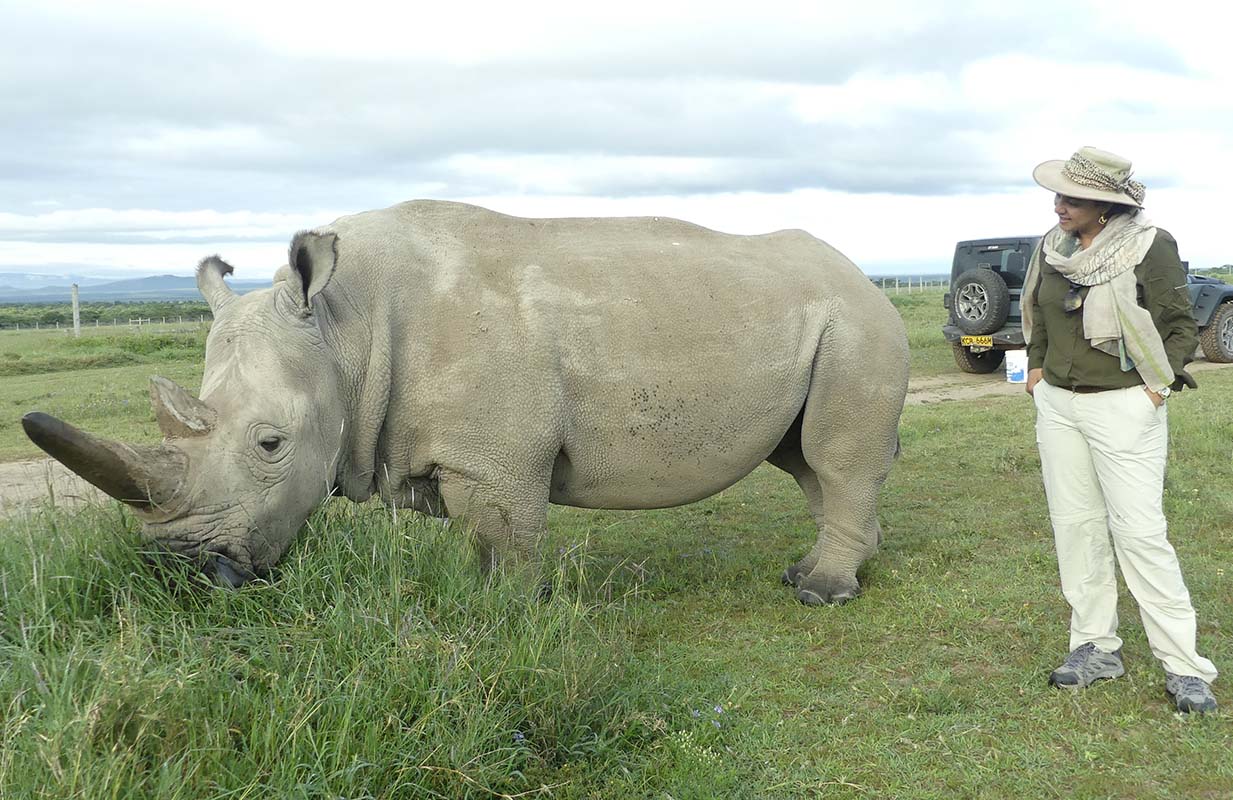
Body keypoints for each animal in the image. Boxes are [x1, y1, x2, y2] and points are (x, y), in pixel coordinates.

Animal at [21, 198, 907, 599]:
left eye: (269, 445)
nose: (180, 574)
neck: (343, 330)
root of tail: (868, 276)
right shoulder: (456, 454)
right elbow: (481, 542)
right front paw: (477, 602)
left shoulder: (498, 460)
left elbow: (508, 542)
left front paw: (511, 618)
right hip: (823, 318)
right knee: (804, 461)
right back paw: (821, 570)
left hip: (856, 320)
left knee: (832, 456)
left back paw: (821, 592)